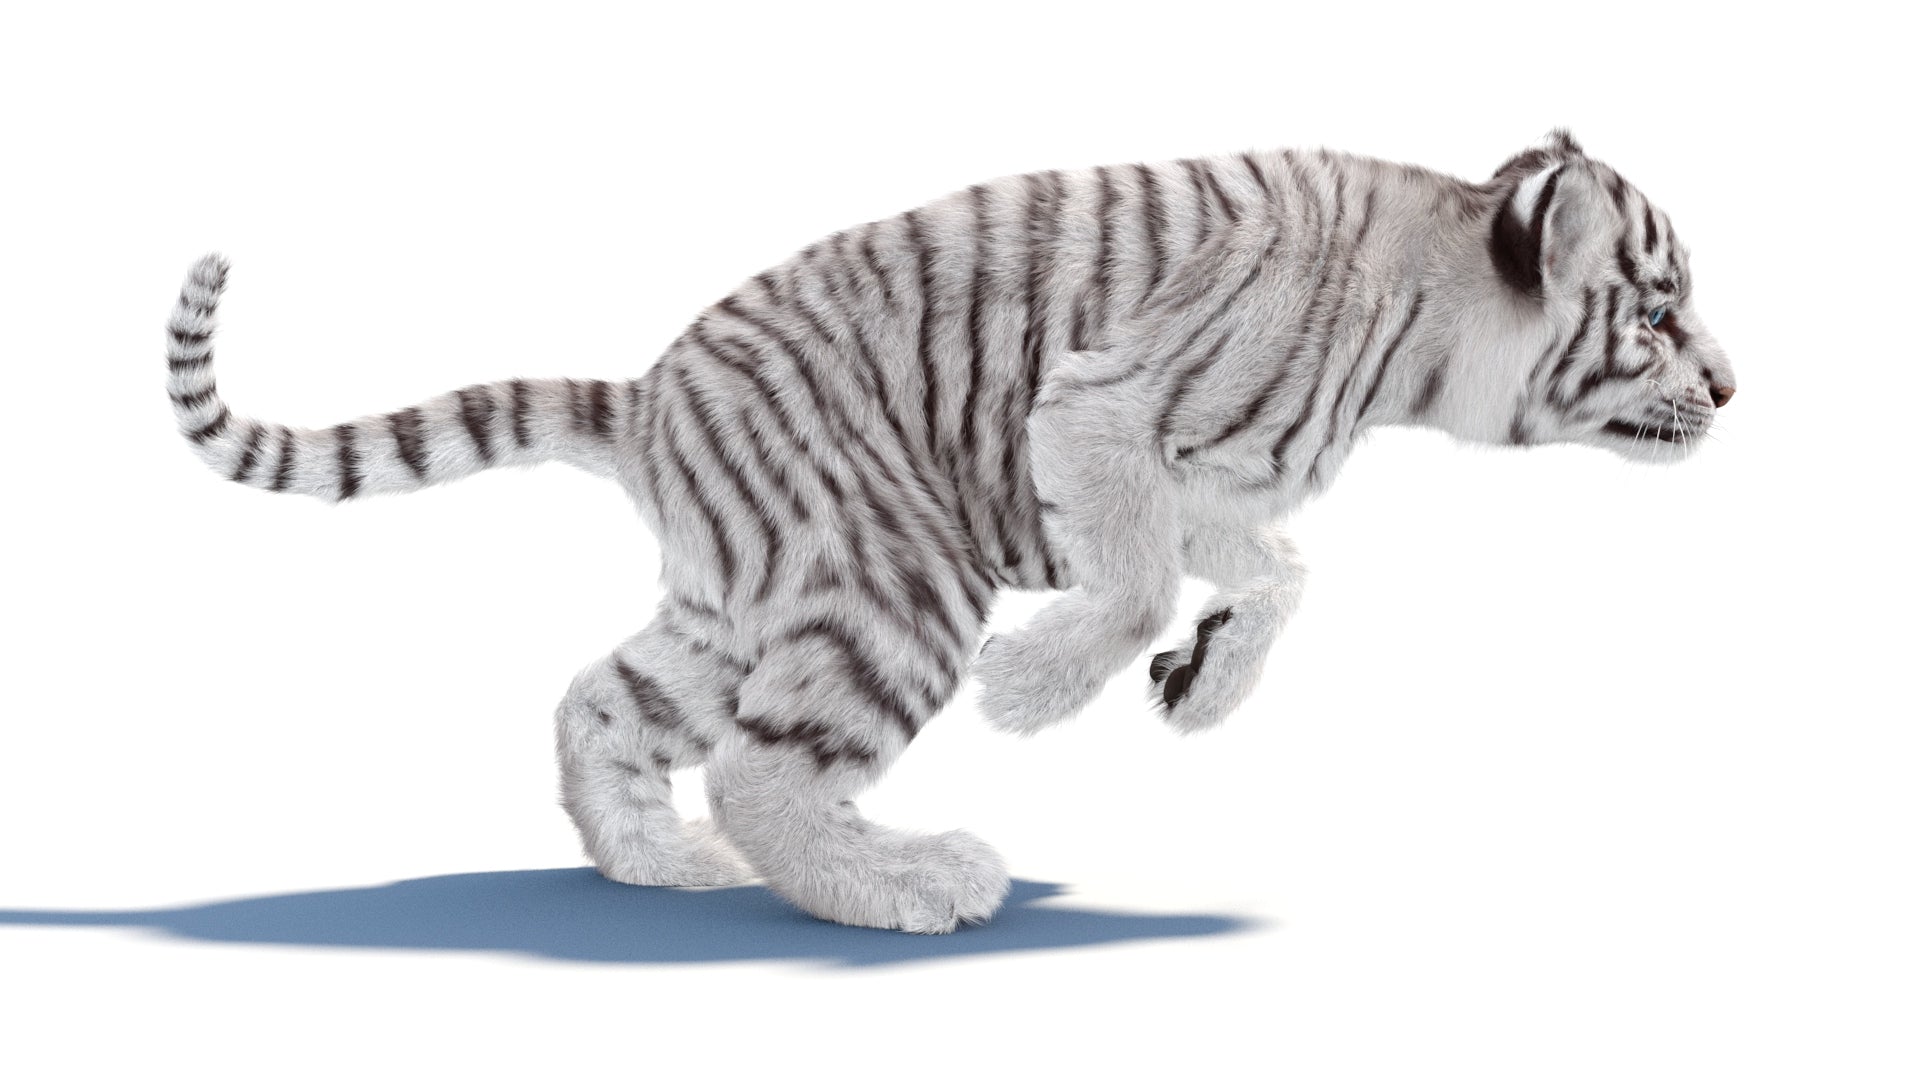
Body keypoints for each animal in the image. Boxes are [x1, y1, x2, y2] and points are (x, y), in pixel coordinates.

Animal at [163, 129, 1736, 933]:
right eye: (1658, 314)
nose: (1730, 385)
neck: (1433, 304)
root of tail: (651, 394)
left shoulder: (1199, 478)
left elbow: (1279, 570)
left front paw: (1204, 682)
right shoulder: (1098, 415)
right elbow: (1139, 578)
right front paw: (1034, 691)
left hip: (734, 605)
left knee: (597, 701)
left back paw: (661, 866)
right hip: (891, 577)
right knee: (762, 769)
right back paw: (911, 882)